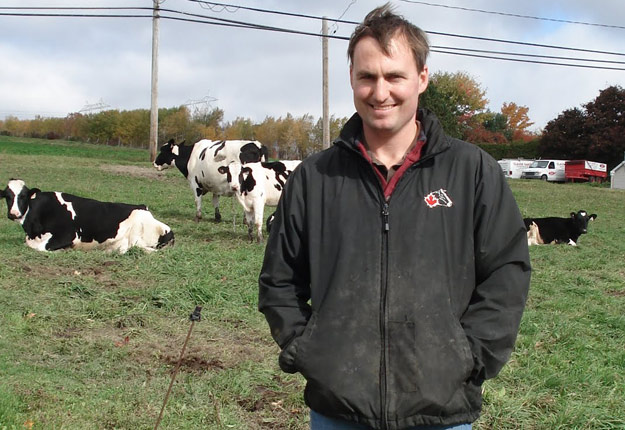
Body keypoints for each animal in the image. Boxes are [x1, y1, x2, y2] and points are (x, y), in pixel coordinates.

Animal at [2, 180, 174, 254]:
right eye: (7, 197)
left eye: (23, 196)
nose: (13, 214)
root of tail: (143, 206)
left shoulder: (68, 235)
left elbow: (41, 247)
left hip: (138, 231)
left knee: (139, 248)